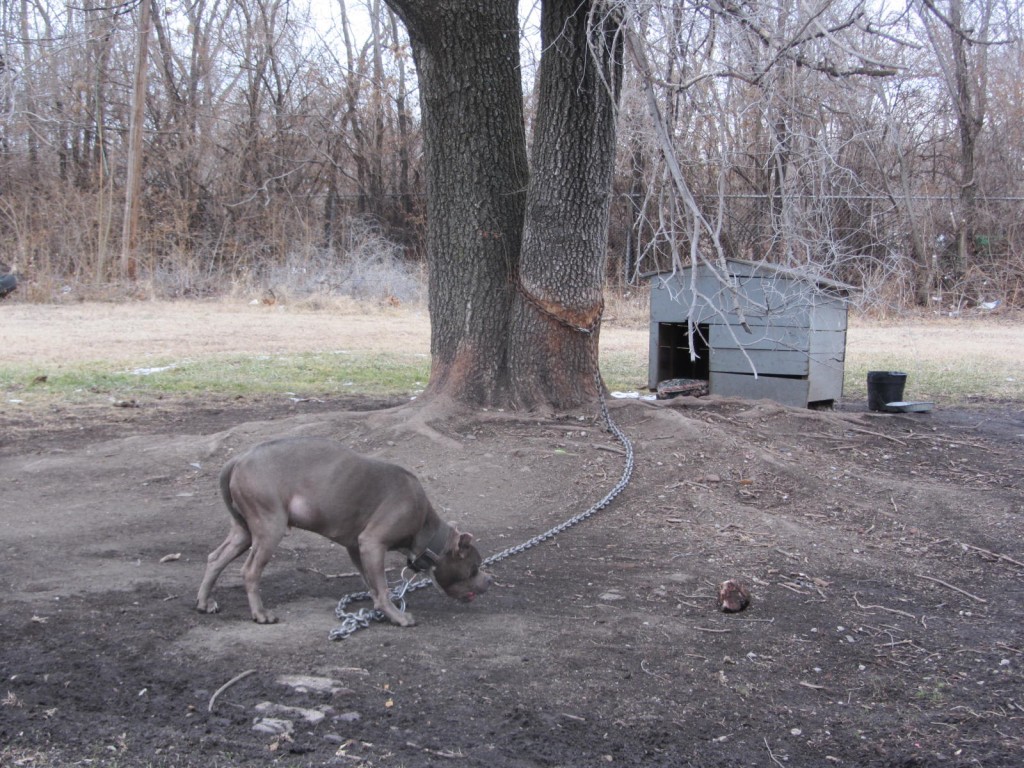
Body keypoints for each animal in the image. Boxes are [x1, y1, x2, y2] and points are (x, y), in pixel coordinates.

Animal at [197, 436, 493, 626]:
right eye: (474, 568)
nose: (490, 580)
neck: (426, 529)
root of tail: (238, 458)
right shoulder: (372, 543)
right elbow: (382, 587)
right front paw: (397, 616)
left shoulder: (357, 548)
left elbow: (372, 584)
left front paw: (380, 610)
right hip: (270, 528)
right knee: (250, 571)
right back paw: (260, 614)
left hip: (245, 532)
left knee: (215, 558)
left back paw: (204, 602)